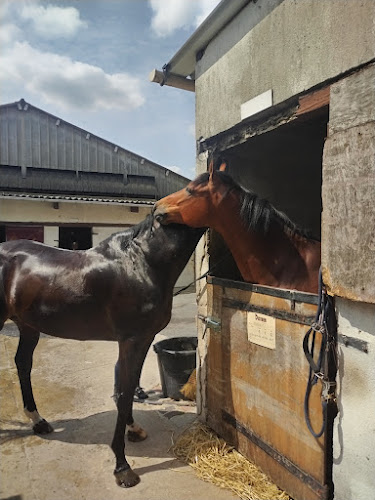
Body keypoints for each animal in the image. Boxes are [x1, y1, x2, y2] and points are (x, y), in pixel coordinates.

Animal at [0, 216, 204, 488]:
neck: (142, 262)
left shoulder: (142, 339)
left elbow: (128, 385)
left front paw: (133, 429)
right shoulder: (131, 340)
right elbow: (125, 390)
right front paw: (122, 468)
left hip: (29, 326)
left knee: (23, 363)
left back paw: (38, 421)